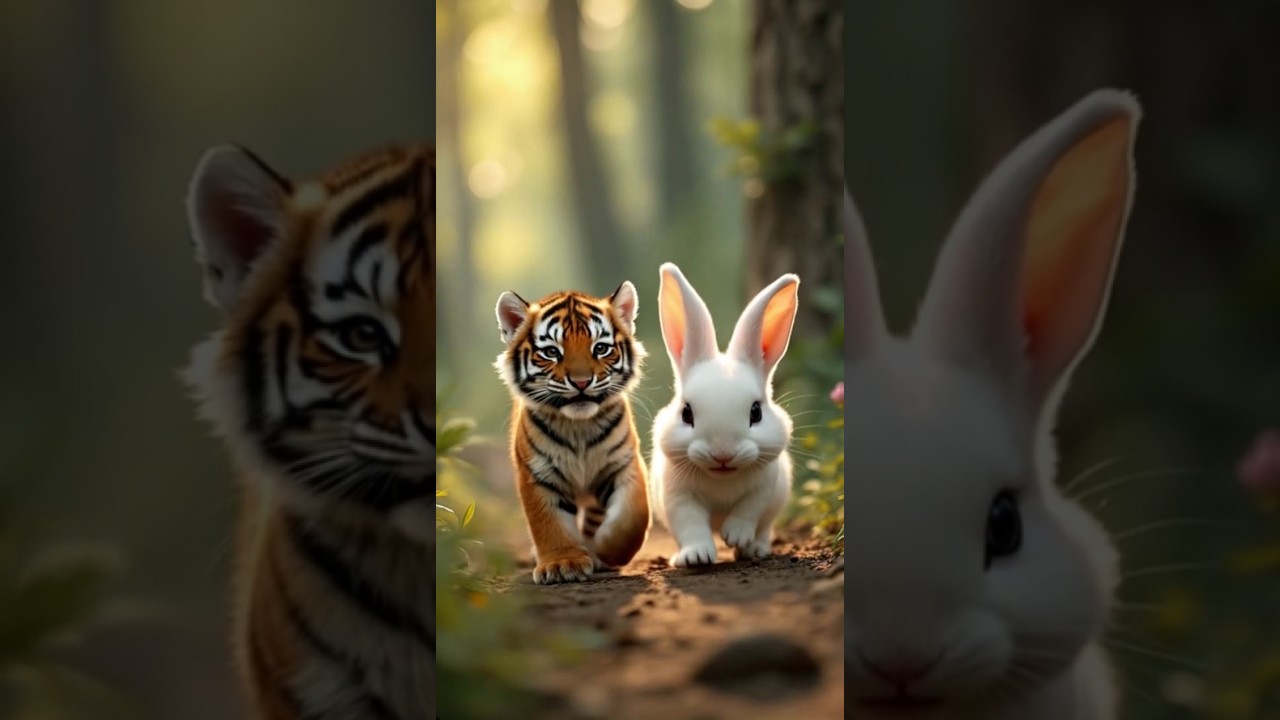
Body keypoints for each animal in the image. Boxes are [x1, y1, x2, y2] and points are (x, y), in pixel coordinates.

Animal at [493, 284, 651, 585]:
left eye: (600, 348)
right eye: (551, 352)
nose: (581, 382)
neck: (578, 426)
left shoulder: (624, 464)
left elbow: (633, 516)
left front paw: (605, 549)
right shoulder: (539, 474)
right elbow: (548, 522)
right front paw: (562, 564)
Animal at [649, 262, 799, 568]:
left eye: (756, 412)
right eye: (686, 413)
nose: (723, 454)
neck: (722, 479)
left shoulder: (764, 488)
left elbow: (748, 510)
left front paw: (736, 536)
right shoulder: (678, 498)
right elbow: (691, 526)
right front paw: (696, 556)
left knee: (764, 529)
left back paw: (754, 550)